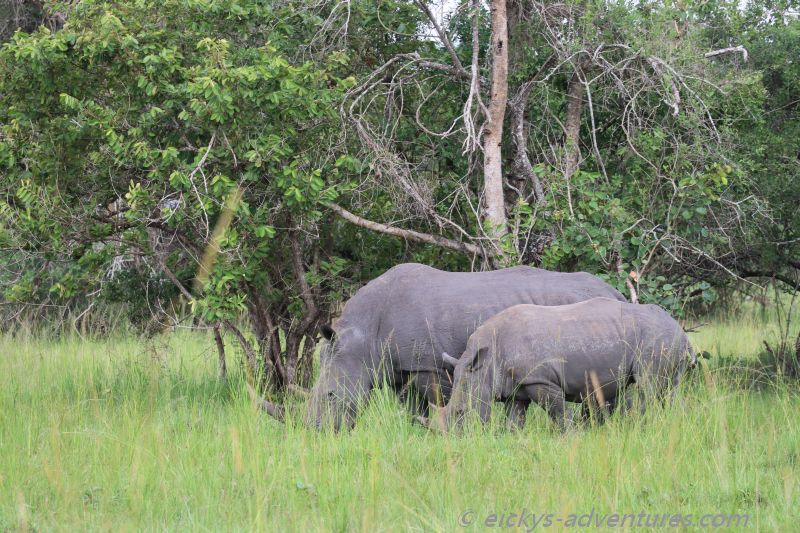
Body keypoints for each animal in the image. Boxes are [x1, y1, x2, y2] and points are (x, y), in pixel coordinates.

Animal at [305, 263, 626, 430]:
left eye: (331, 395)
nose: (314, 430)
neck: (362, 335)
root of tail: (616, 292)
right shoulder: (400, 369)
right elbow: (409, 408)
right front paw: (413, 433)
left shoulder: (427, 366)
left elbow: (437, 401)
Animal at [418, 298, 696, 432]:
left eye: (460, 413)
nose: (453, 440)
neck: (483, 362)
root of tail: (681, 332)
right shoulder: (516, 387)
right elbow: (514, 421)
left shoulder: (540, 381)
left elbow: (559, 414)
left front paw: (572, 438)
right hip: (663, 338)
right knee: (668, 390)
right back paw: (677, 426)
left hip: (656, 338)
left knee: (649, 387)